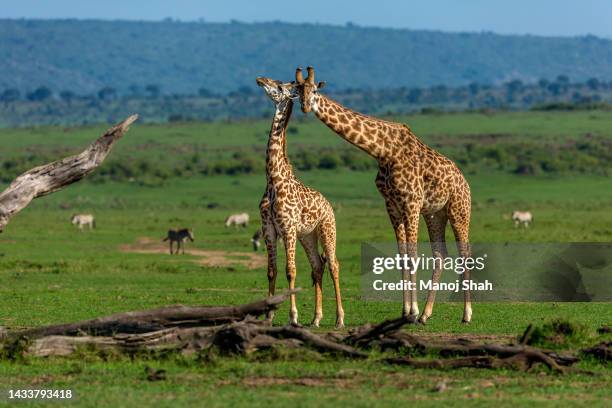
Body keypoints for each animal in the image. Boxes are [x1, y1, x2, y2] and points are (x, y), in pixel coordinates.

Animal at [296, 66, 474, 322]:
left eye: (315, 91)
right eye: (297, 90)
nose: (305, 106)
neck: (383, 151)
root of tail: (464, 181)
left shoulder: (411, 202)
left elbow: (413, 256)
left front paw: (412, 310)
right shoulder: (392, 205)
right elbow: (402, 257)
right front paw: (407, 311)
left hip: (459, 209)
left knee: (464, 253)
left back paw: (466, 314)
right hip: (435, 214)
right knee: (440, 254)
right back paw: (426, 314)